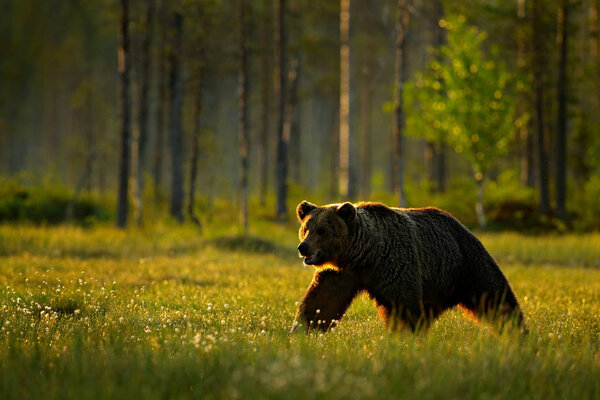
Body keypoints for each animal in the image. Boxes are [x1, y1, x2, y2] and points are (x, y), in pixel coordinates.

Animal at [290, 202, 524, 332]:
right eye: (306, 228)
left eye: (322, 230)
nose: (303, 247)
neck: (364, 255)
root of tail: (461, 224)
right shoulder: (340, 274)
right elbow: (322, 303)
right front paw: (302, 330)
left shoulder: (394, 262)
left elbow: (402, 305)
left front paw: (401, 335)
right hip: (436, 285)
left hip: (466, 263)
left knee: (495, 297)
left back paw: (517, 330)